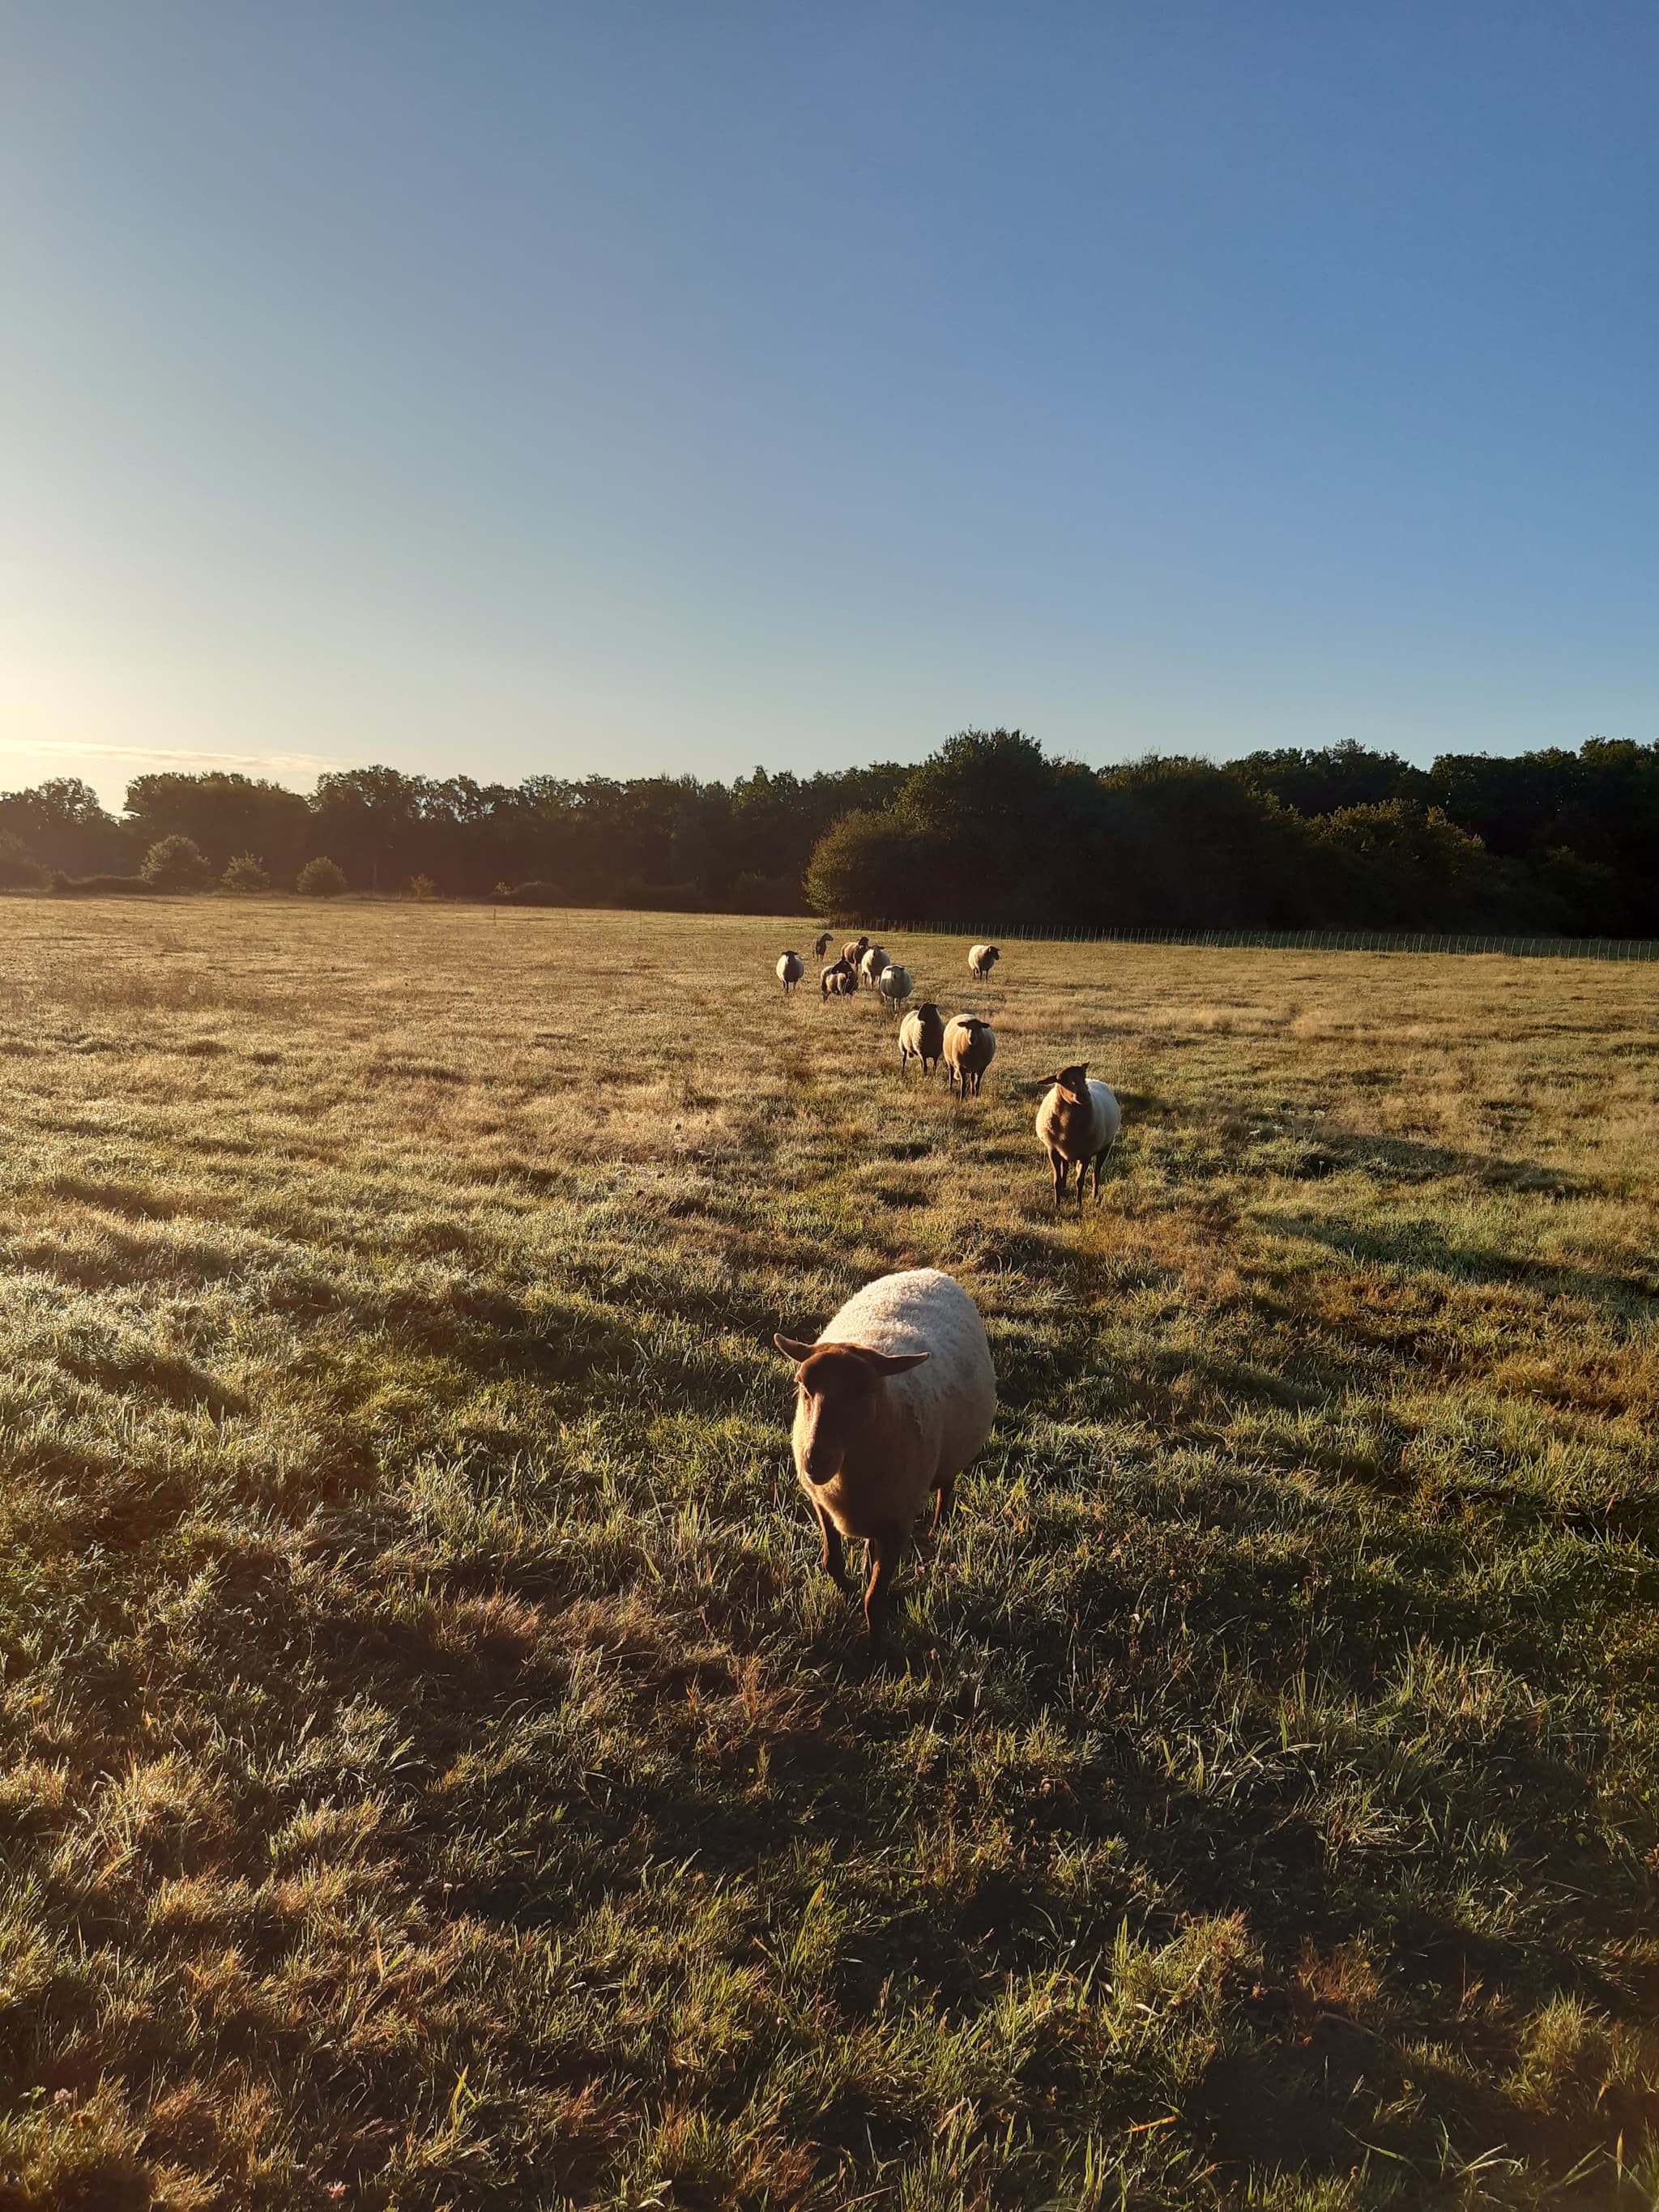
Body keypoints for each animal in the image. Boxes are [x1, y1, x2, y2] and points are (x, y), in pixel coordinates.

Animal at [774, 1267, 996, 1662]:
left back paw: (937, 1529)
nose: (815, 1459)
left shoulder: (898, 1525)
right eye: (802, 1386)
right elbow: (832, 1564)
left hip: (949, 1458)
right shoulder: (822, 1503)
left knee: (946, 1488)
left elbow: (875, 1600)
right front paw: (849, 1589)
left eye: (867, 1390)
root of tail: (930, 1271)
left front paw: (874, 1655)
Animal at [1035, 1063, 1122, 1210]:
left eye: (1083, 1075)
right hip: (1064, 1151)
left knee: (1096, 1173)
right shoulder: (1053, 1150)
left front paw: (1078, 1206)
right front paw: (1057, 1206)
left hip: (1105, 1146)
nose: (1084, 1095)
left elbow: (1079, 1181)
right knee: (1065, 1168)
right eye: (1061, 1080)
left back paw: (1095, 1196)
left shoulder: (1086, 1154)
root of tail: (1095, 1080)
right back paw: (1064, 1189)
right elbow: (1057, 1181)